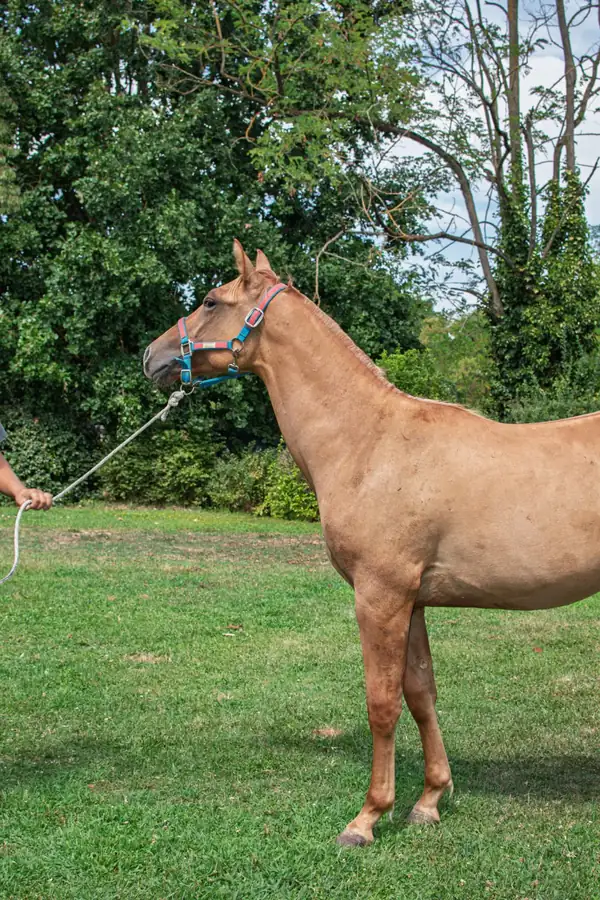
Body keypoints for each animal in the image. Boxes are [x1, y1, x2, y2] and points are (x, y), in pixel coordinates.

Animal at [143, 240, 600, 846]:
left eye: (211, 300)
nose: (151, 356)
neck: (369, 440)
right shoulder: (413, 600)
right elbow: (421, 694)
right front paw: (429, 800)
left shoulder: (379, 596)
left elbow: (381, 703)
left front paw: (367, 817)